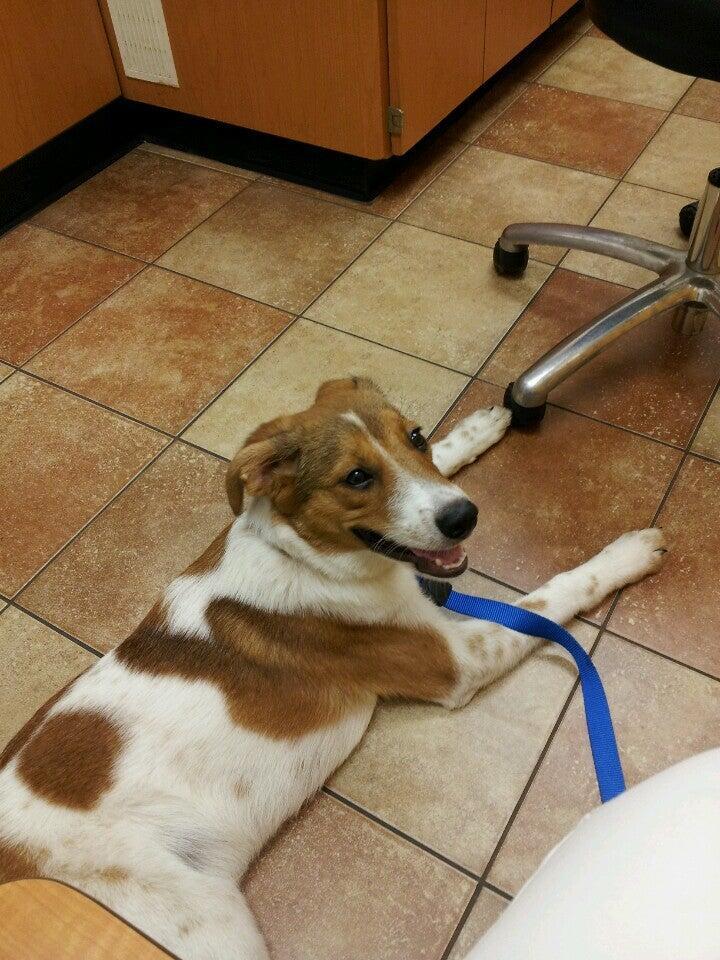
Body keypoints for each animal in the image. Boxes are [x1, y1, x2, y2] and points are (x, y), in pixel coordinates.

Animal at [0, 377, 666, 959]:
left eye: (415, 437)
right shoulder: (456, 660)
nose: (463, 517)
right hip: (199, 929)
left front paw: (476, 428)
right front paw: (626, 555)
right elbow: (547, 601)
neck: (302, 553)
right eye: (356, 477)